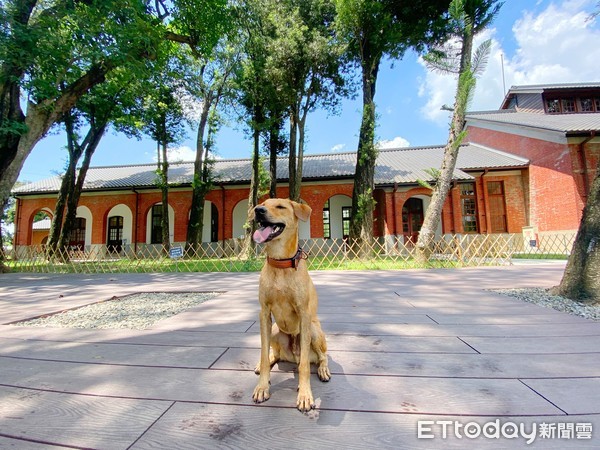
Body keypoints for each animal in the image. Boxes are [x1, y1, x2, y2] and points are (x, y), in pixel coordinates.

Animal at [251, 197, 330, 412]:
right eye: (262, 204)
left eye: (280, 207)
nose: (258, 210)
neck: (281, 263)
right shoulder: (264, 313)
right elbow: (263, 353)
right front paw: (262, 386)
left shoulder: (304, 314)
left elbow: (304, 366)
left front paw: (305, 395)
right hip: (275, 330)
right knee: (275, 353)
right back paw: (264, 363)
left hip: (313, 330)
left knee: (322, 356)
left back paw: (323, 370)